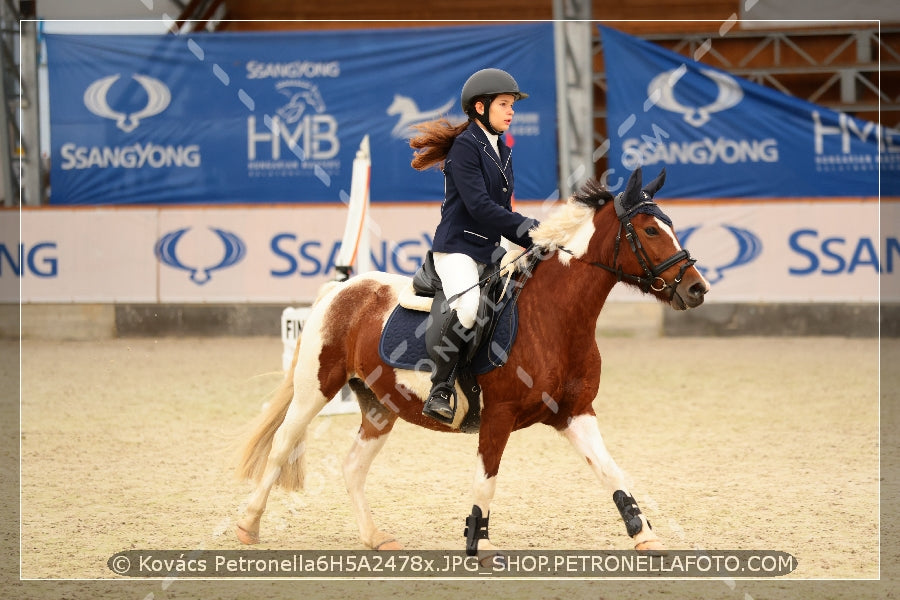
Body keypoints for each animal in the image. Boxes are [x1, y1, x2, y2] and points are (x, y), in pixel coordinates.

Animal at [237, 166, 712, 556]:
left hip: (380, 405)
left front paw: (644, 534)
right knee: (281, 447)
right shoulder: (498, 416)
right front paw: (476, 542)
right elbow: (487, 481)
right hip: (315, 389)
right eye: (650, 231)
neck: (555, 319)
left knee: (352, 466)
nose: (697, 289)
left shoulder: (575, 412)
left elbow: (613, 473)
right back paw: (248, 525)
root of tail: (343, 289)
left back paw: (374, 537)